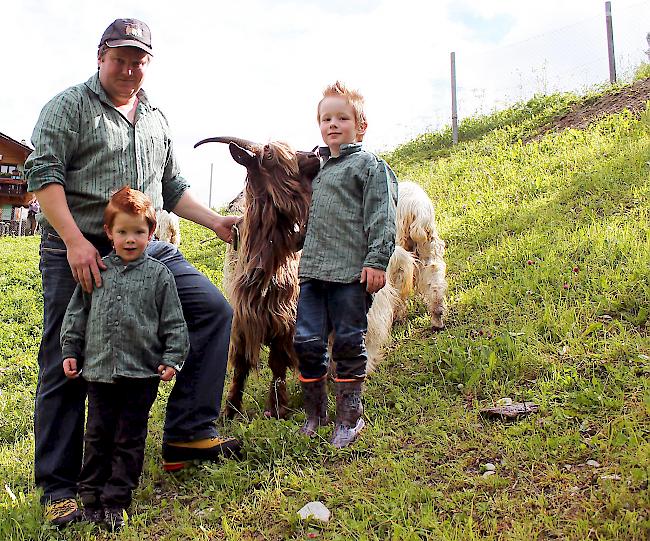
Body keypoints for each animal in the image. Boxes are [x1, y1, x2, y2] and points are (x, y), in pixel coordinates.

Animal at [192, 136, 318, 418]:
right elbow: (240, 363)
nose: (316, 154)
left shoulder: (284, 315)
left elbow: (277, 362)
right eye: (269, 155)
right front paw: (229, 410)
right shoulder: (243, 317)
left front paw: (277, 407)